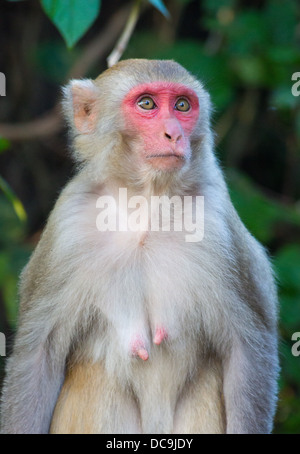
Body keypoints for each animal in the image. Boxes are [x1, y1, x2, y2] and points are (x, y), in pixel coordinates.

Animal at [0, 59, 278, 432]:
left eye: (182, 105)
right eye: (147, 104)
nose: (174, 133)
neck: (146, 203)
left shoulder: (218, 222)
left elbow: (247, 349)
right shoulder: (67, 224)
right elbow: (37, 358)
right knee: (98, 380)